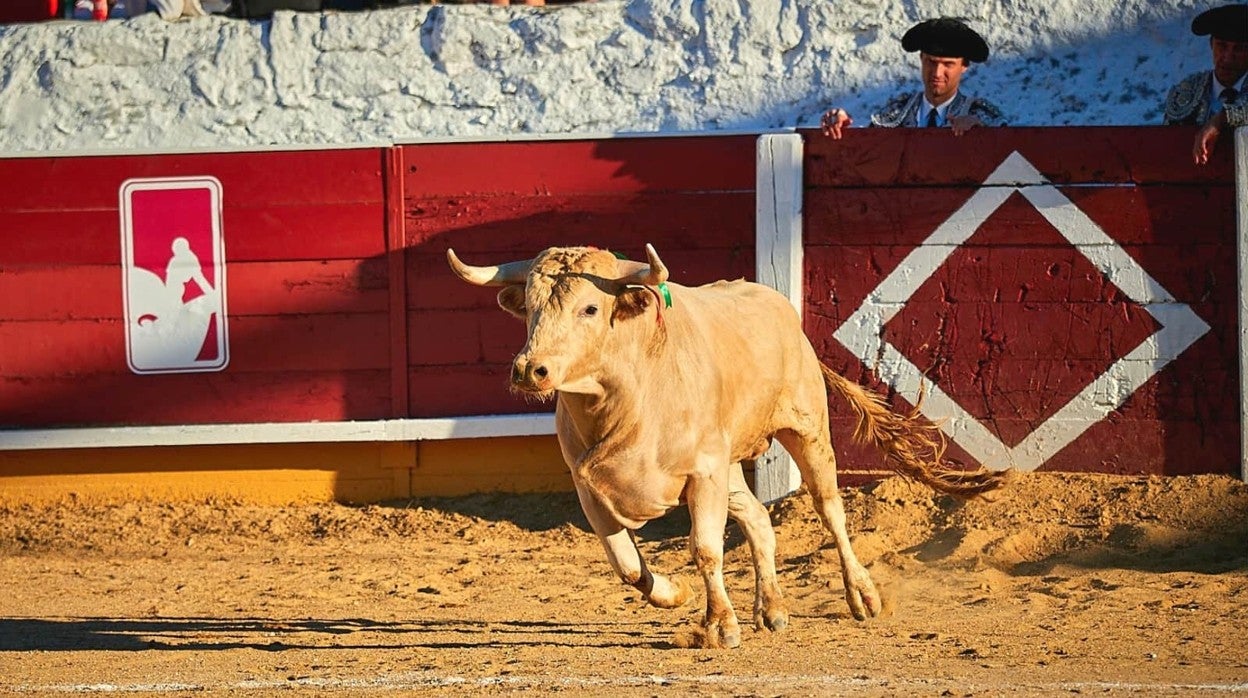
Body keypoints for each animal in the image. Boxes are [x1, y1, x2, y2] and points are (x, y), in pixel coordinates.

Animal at [449, 244, 1003, 649]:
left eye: (590, 307)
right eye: (531, 308)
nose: (531, 370)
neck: (624, 392)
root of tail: (786, 314)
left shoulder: (704, 473)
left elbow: (706, 548)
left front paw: (719, 625)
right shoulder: (588, 486)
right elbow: (626, 564)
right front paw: (674, 593)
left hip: (807, 431)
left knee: (831, 512)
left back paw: (862, 597)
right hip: (732, 464)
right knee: (758, 518)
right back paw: (772, 610)